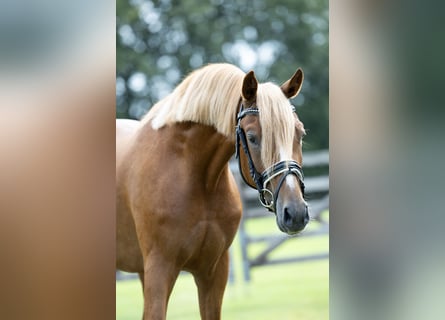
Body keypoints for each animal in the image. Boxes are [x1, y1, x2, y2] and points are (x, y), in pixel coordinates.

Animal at [116, 63, 306, 318]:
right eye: (252, 138)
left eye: (300, 133)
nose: (295, 213)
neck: (196, 177)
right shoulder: (160, 269)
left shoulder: (213, 272)